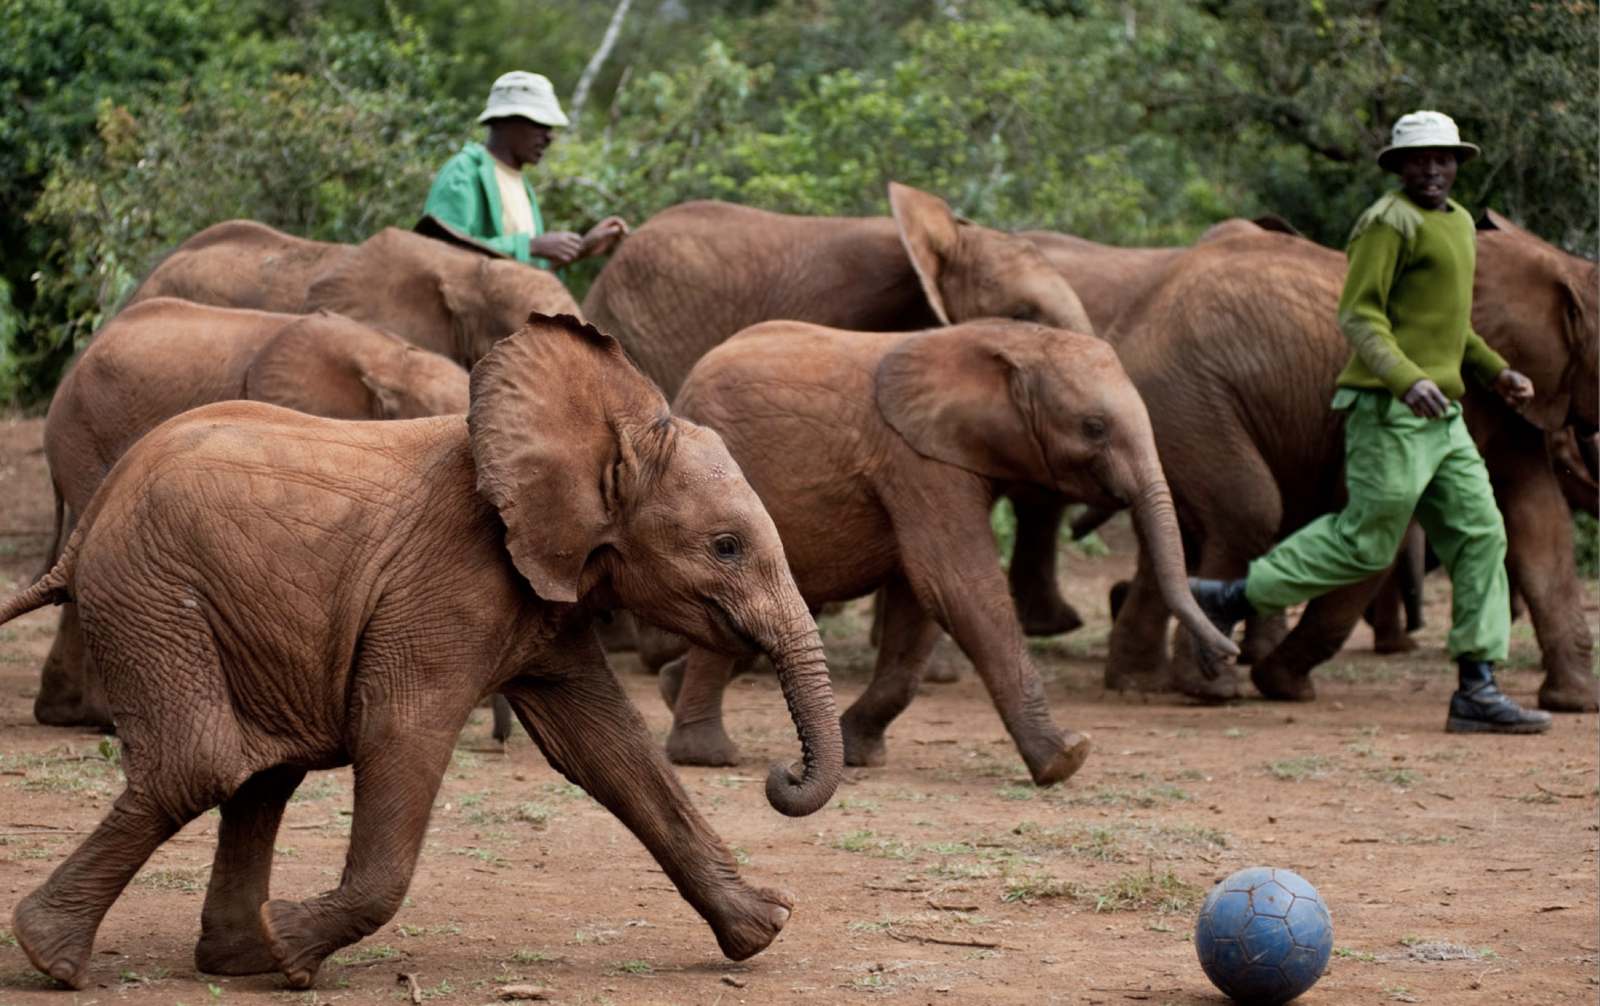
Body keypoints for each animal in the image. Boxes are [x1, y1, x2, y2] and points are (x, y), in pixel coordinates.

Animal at [657, 319, 1238, 784]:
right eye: (1093, 429)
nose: (1227, 656)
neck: (1010, 340)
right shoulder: (920, 461)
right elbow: (957, 585)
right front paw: (1065, 759)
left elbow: (919, 604)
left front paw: (860, 755)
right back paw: (707, 755)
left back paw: (669, 691)